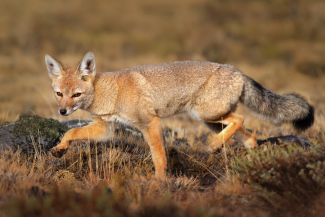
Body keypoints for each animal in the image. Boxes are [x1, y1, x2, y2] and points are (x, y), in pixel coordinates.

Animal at [44, 51, 312, 179]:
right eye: (59, 93)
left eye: (76, 95)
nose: (62, 111)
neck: (110, 92)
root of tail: (237, 70)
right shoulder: (105, 129)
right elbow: (72, 132)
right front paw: (60, 149)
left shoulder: (150, 123)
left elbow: (159, 157)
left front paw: (160, 182)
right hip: (211, 120)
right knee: (250, 136)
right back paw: (253, 162)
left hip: (205, 114)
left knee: (240, 120)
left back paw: (214, 145)